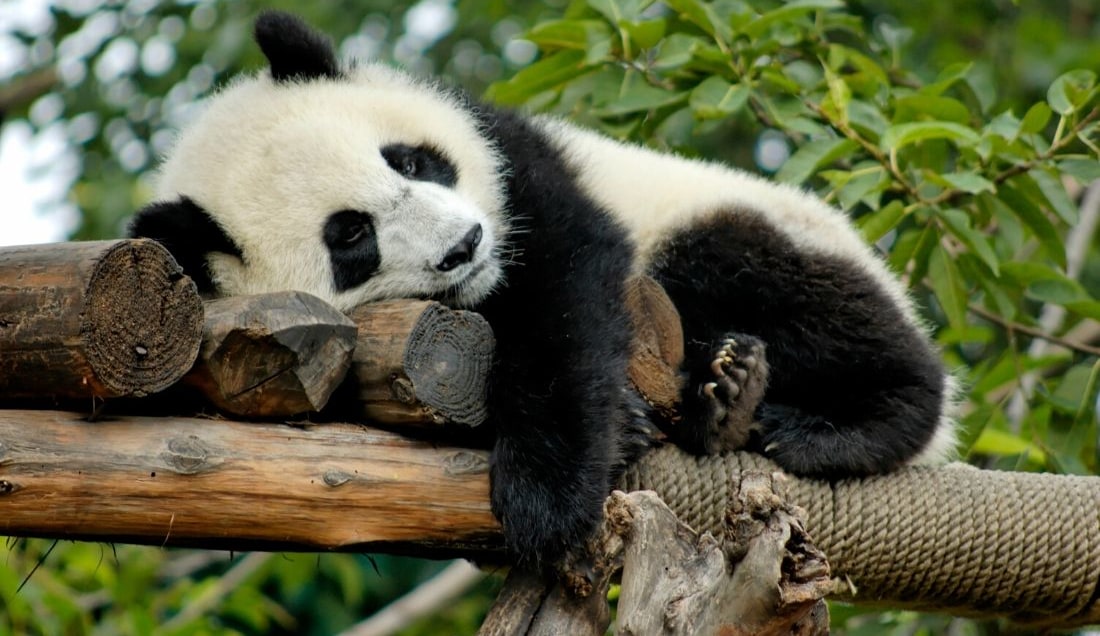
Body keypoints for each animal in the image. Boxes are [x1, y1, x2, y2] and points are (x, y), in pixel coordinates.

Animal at [130, 11, 957, 570]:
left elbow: (568, 292)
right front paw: (617, 435)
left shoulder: (517, 167)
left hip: (743, 224)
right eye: (351, 237)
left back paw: (828, 420)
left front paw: (547, 494)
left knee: (774, 282)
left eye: (410, 161)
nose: (465, 246)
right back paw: (724, 404)